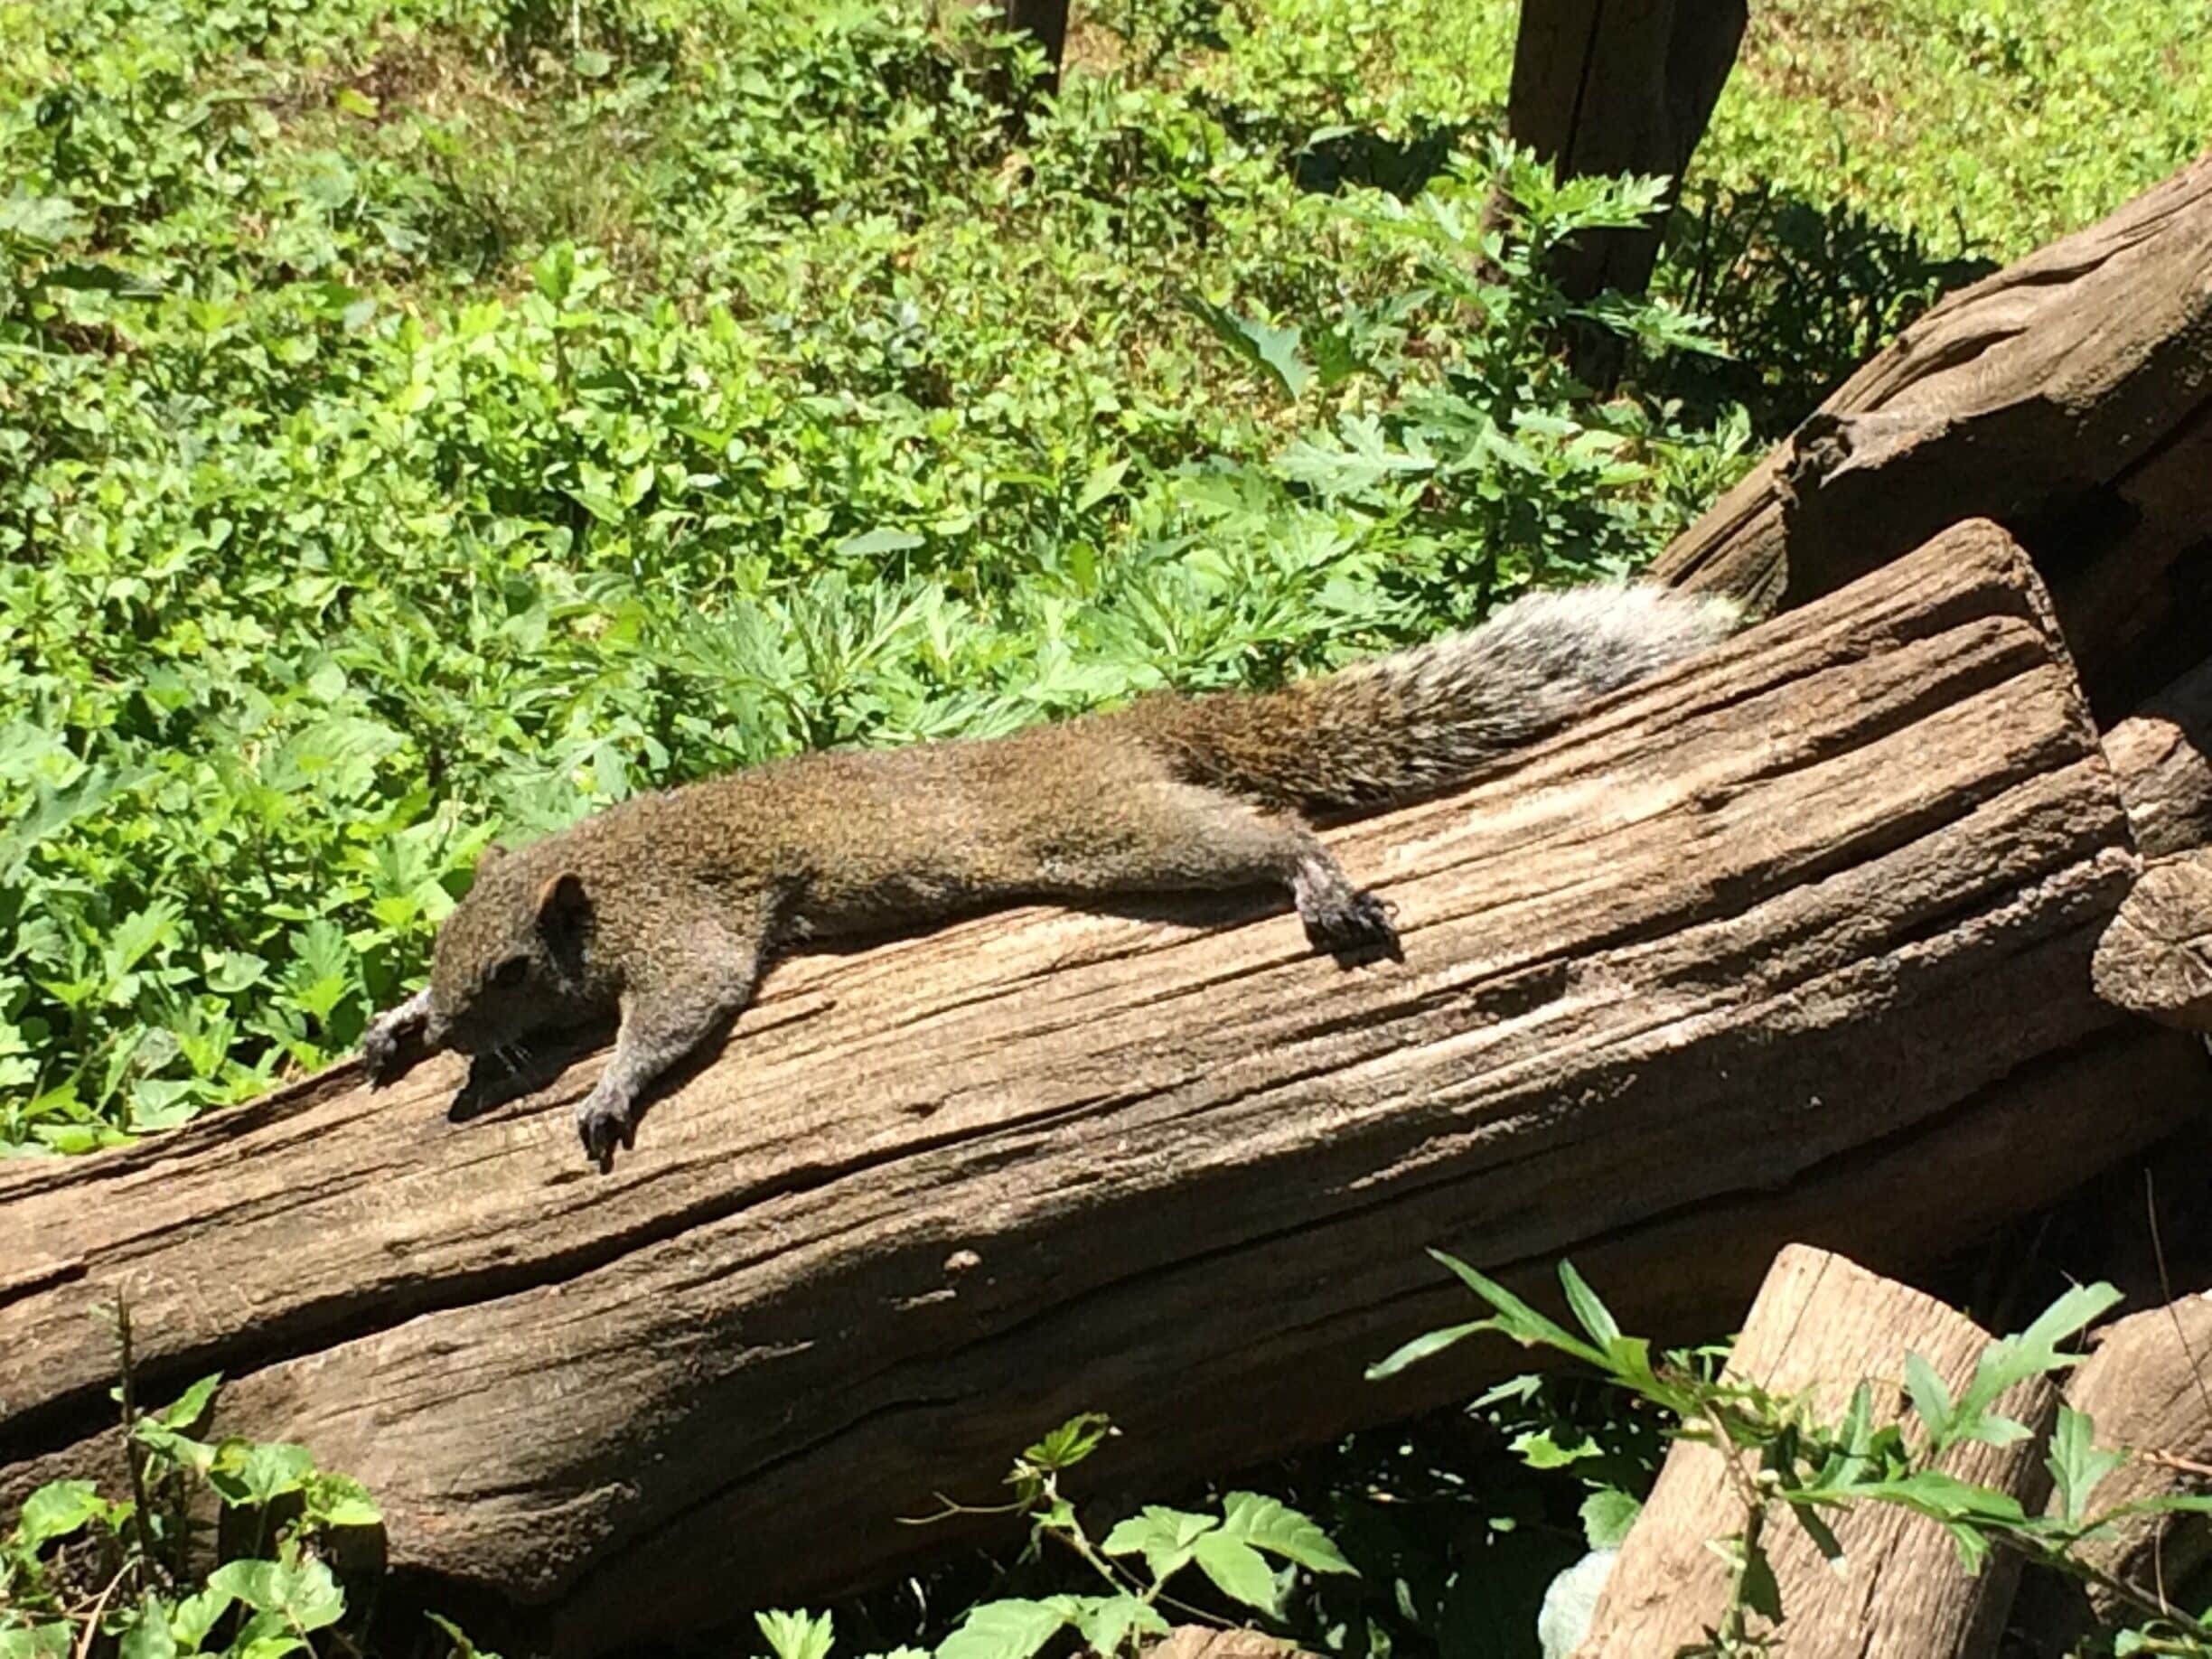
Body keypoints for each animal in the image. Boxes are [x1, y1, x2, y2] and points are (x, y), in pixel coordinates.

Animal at [362, 583, 1738, 1168]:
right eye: (441, 949)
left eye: (510, 968)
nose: (457, 1031)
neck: (590, 873)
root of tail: (1127, 727)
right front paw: (396, 1028)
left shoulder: (683, 921)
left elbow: (686, 1005)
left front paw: (608, 1091)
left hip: (1116, 829)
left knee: (1267, 827)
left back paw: (1320, 880)